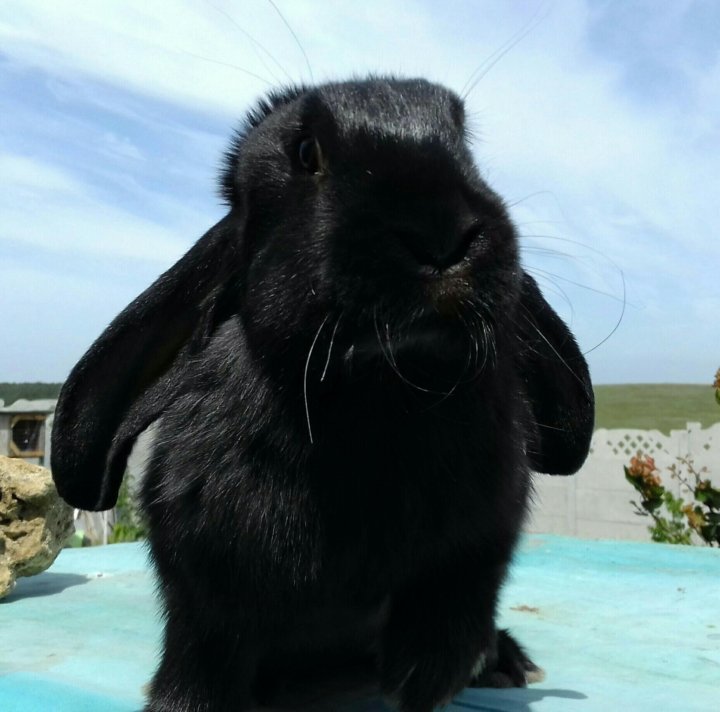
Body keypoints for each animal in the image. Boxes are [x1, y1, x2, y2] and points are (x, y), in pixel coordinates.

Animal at [51, 76, 594, 712]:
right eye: (305, 153)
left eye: (464, 142)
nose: (441, 232)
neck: (376, 396)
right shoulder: (204, 582)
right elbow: (203, 656)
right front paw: (180, 703)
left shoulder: (479, 540)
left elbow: (450, 613)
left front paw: (427, 679)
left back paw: (505, 662)